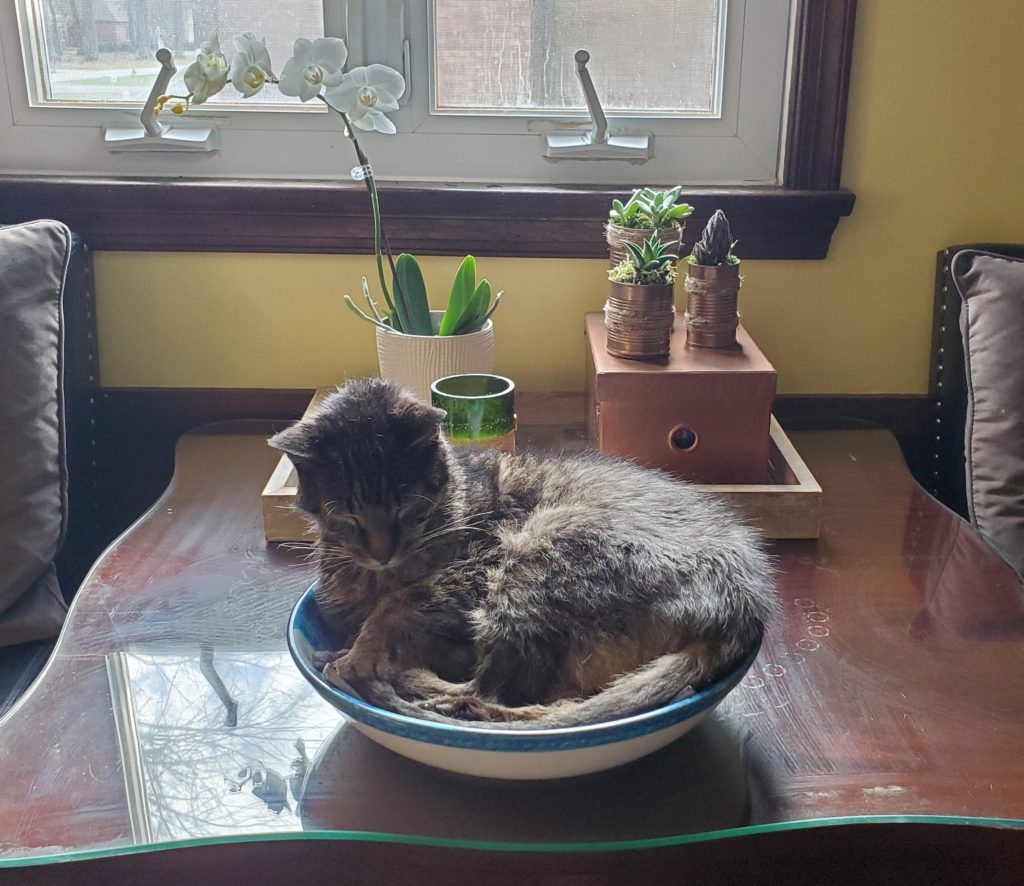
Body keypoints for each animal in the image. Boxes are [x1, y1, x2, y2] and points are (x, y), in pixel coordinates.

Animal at [268, 374, 770, 725]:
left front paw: (362, 652)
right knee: (546, 702)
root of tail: (744, 606)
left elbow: (398, 606)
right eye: (346, 515)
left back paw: (395, 678)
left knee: (491, 693)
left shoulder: (473, 567)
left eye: (406, 507)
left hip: (536, 554)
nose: (381, 552)